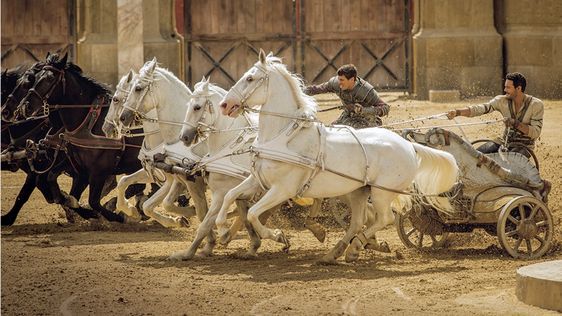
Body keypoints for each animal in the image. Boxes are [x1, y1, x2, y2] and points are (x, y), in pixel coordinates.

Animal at [18, 53, 147, 223]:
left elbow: (94, 201)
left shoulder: (99, 170)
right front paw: (74, 205)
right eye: (36, 77)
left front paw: (115, 215)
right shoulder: (79, 168)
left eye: (50, 78)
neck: (88, 121)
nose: (25, 106)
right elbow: (59, 185)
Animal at [217, 50, 458, 262]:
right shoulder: (258, 180)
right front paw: (221, 231)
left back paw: (354, 248)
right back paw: (336, 254)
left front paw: (278, 236)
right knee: (359, 221)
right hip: (359, 191)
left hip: (381, 193)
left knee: (384, 218)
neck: (283, 136)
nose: (225, 105)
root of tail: (409, 145)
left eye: (250, 78)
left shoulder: (282, 189)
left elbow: (252, 213)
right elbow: (230, 196)